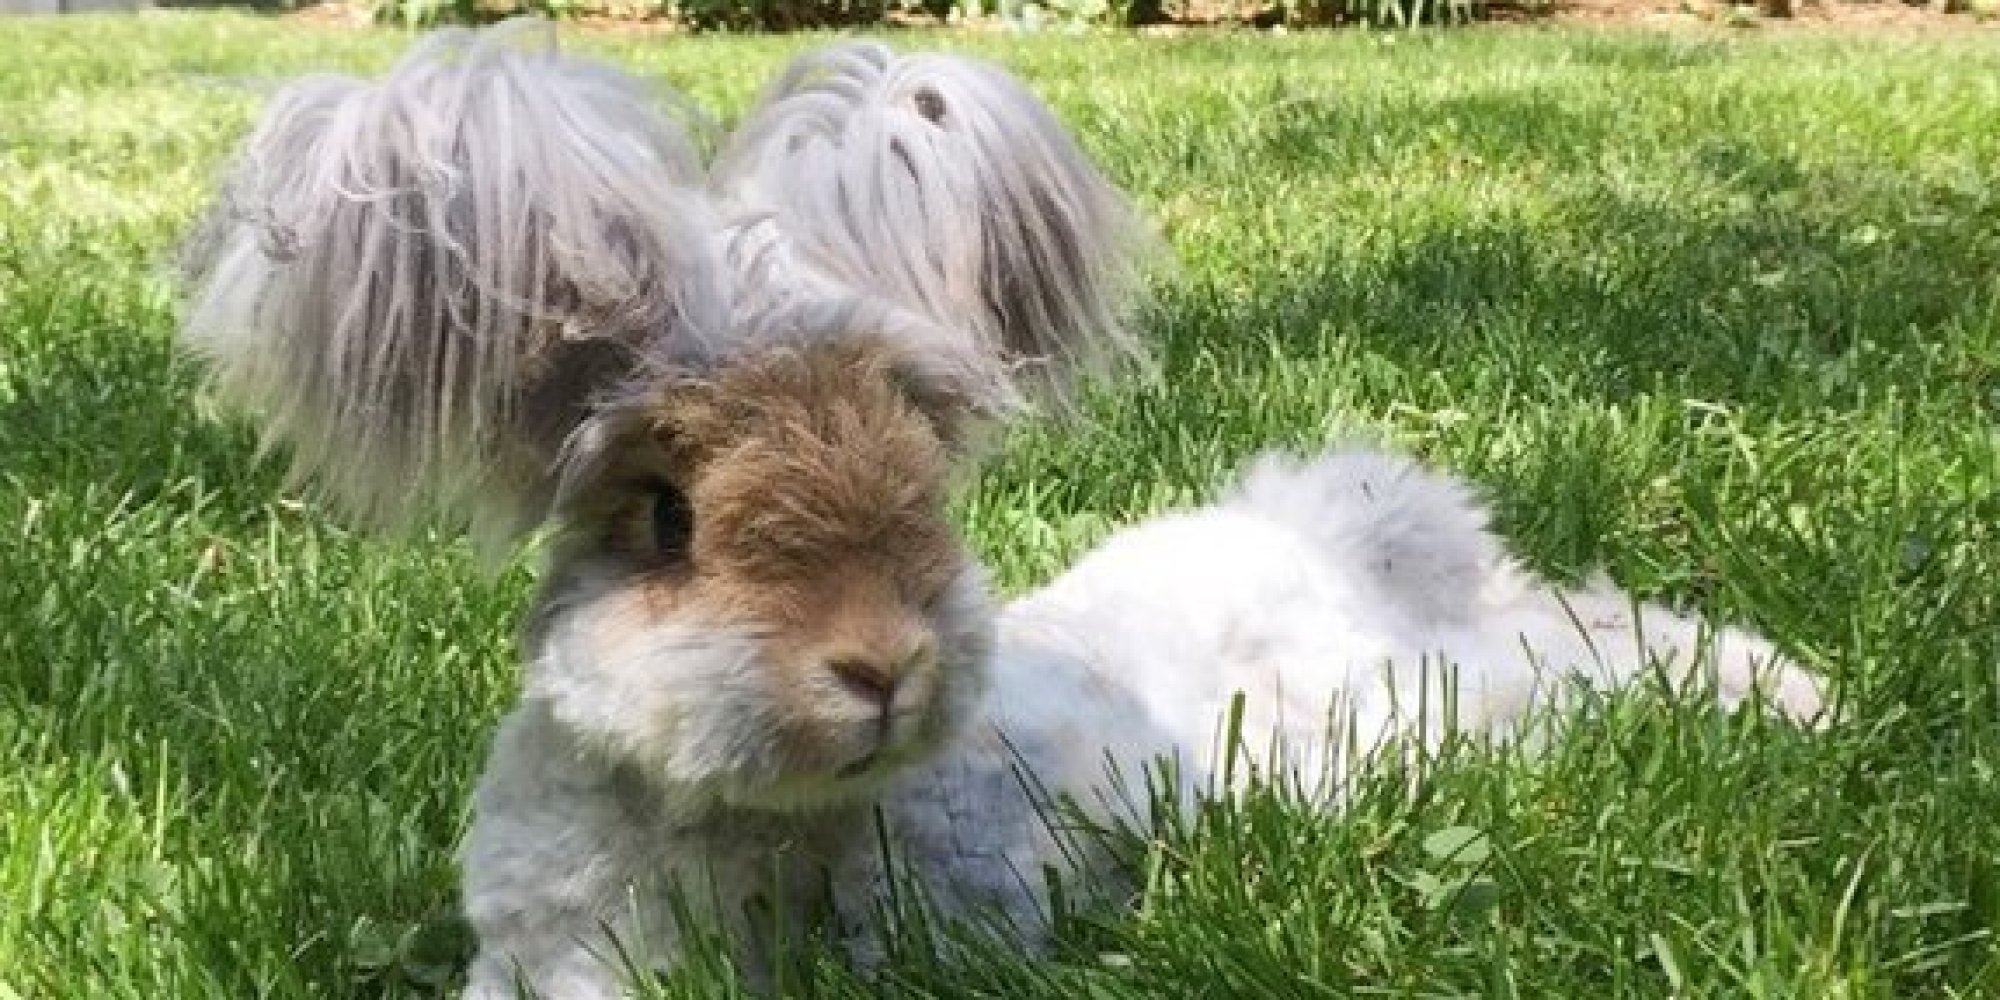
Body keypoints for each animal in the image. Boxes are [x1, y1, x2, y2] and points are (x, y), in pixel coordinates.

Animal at [180, 21, 1824, 1000]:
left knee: (1584, 649)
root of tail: (1329, 536)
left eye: (921, 477)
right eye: (664, 519)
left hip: (1425, 703)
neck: (749, 821)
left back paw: (1794, 693)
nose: (883, 665)